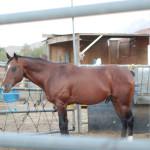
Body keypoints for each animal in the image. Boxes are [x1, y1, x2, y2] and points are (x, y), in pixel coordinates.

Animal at [1, 53, 135, 139]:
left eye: (14, 68)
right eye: (6, 67)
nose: (4, 86)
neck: (52, 74)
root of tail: (128, 71)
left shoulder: (61, 104)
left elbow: (62, 125)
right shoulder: (62, 105)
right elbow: (65, 124)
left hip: (124, 103)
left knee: (129, 120)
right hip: (116, 102)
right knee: (123, 121)